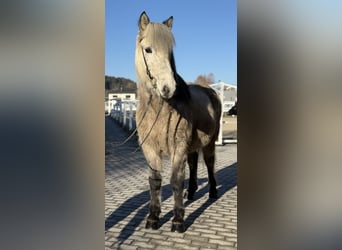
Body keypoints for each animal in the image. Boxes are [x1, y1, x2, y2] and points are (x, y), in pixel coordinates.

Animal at [135, 11, 220, 232]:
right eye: (148, 49)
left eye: (170, 51)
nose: (168, 88)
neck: (160, 109)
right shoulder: (149, 148)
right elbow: (155, 181)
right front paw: (153, 217)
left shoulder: (178, 146)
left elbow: (175, 180)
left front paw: (178, 220)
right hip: (192, 144)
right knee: (192, 163)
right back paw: (191, 192)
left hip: (209, 142)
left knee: (209, 163)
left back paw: (212, 192)